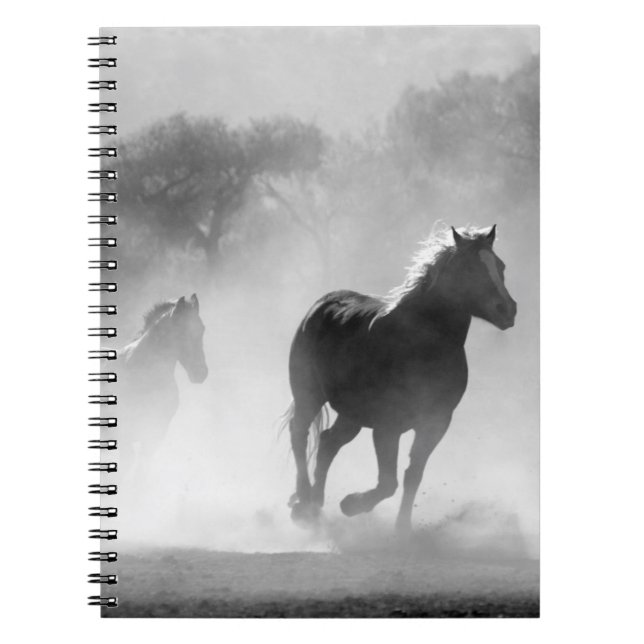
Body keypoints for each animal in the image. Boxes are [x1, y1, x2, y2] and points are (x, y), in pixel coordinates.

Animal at [283, 225, 516, 533]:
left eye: (500, 266)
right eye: (469, 268)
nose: (507, 309)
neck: (422, 345)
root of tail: (321, 305)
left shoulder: (435, 423)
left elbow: (412, 475)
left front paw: (402, 528)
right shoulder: (387, 426)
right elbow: (387, 482)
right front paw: (351, 504)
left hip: (352, 414)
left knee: (328, 442)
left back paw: (315, 504)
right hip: (308, 394)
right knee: (299, 434)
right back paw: (303, 502)